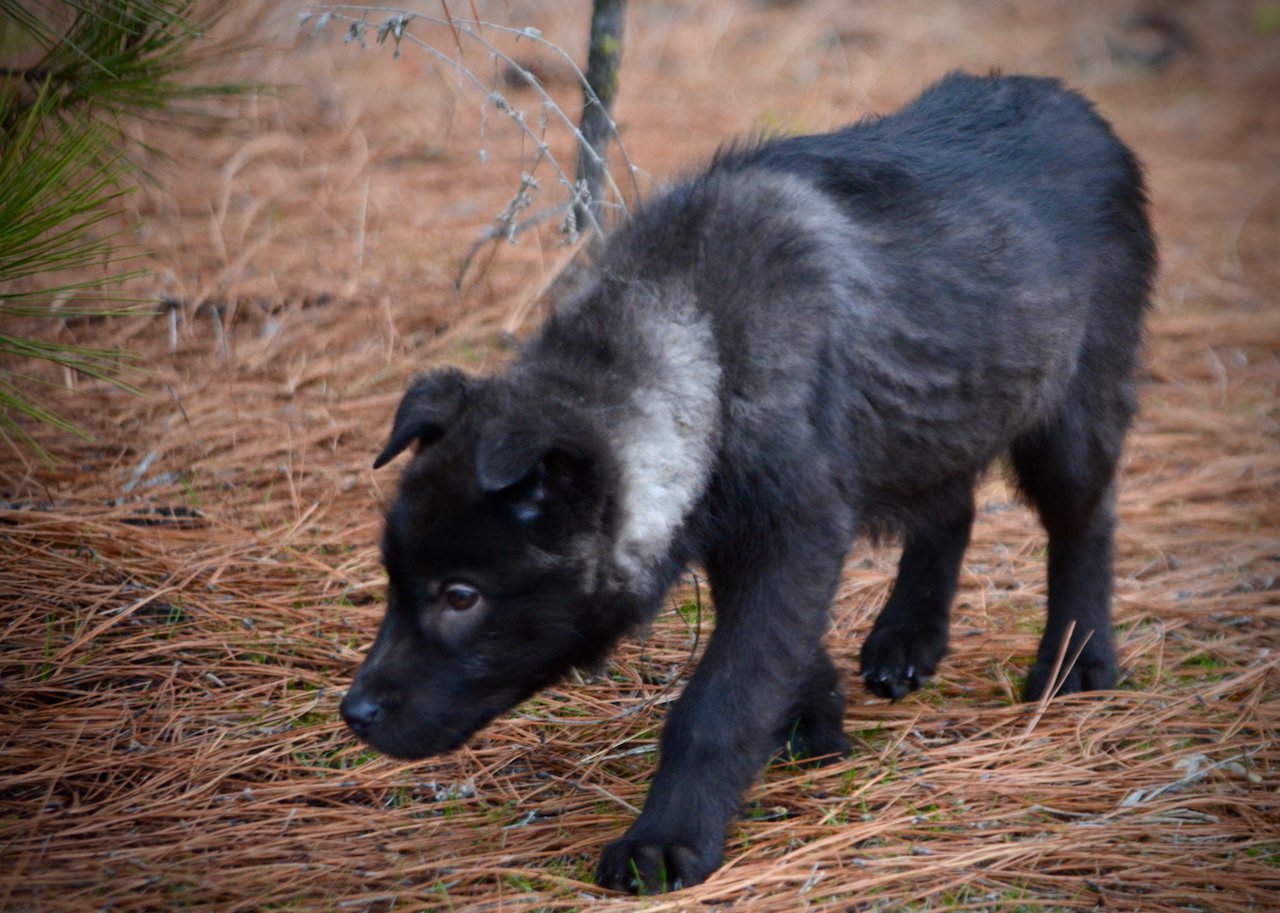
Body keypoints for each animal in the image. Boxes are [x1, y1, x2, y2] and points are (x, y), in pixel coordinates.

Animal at [343, 71, 1162, 891]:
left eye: (460, 596)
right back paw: (908, 638)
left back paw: (1079, 660)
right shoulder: (743, 536)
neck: (701, 337)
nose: (354, 714)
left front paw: (668, 838)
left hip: (1069, 417)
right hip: (939, 409)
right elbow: (784, 659)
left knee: (1086, 522)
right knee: (952, 507)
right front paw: (816, 723)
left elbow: (721, 700)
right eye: (394, 582)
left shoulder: (792, 536)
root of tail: (1070, 102)